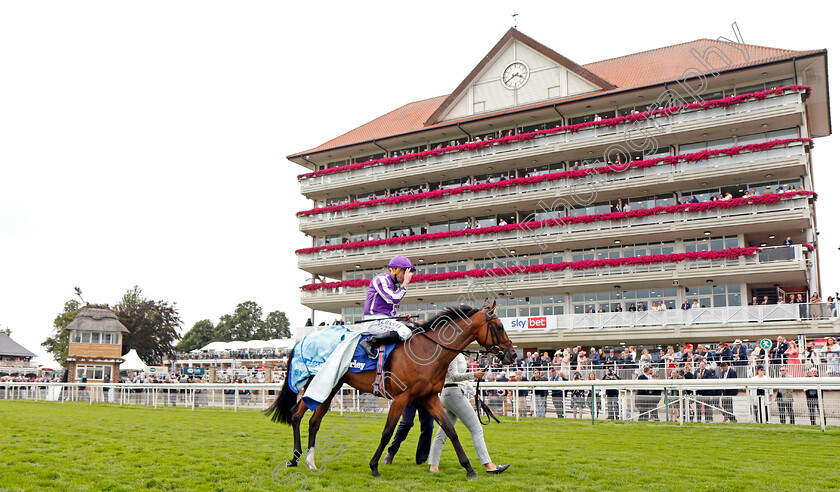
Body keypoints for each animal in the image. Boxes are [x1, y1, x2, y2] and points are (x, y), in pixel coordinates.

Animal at [266, 300, 516, 476]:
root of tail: (302, 341)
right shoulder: (401, 398)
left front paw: (470, 469)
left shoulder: (428, 397)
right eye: (499, 325)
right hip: (318, 383)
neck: (429, 350)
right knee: (297, 415)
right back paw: (297, 458)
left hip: (331, 385)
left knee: (311, 420)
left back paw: (306, 460)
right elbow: (388, 433)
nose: (512, 354)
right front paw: (374, 466)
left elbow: (450, 430)